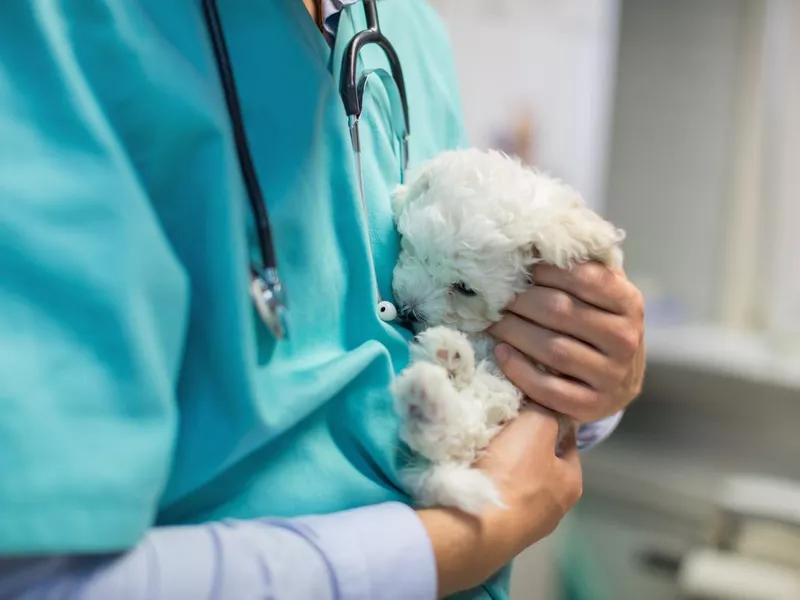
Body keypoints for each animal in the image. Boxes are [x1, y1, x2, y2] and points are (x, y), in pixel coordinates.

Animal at [388, 149, 624, 516]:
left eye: (465, 288)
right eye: (416, 251)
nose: (410, 311)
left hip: (501, 392)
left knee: (462, 432)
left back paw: (432, 385)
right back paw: (445, 361)